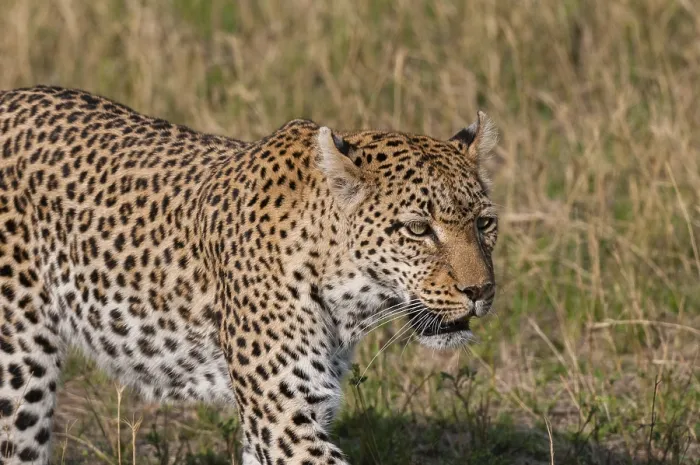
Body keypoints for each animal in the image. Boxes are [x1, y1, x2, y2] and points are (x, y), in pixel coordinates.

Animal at [0, 85, 499, 465]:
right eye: (418, 229)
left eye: (484, 224)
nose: (479, 290)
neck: (348, 299)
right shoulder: (284, 420)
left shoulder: (290, 415)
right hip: (19, 373)